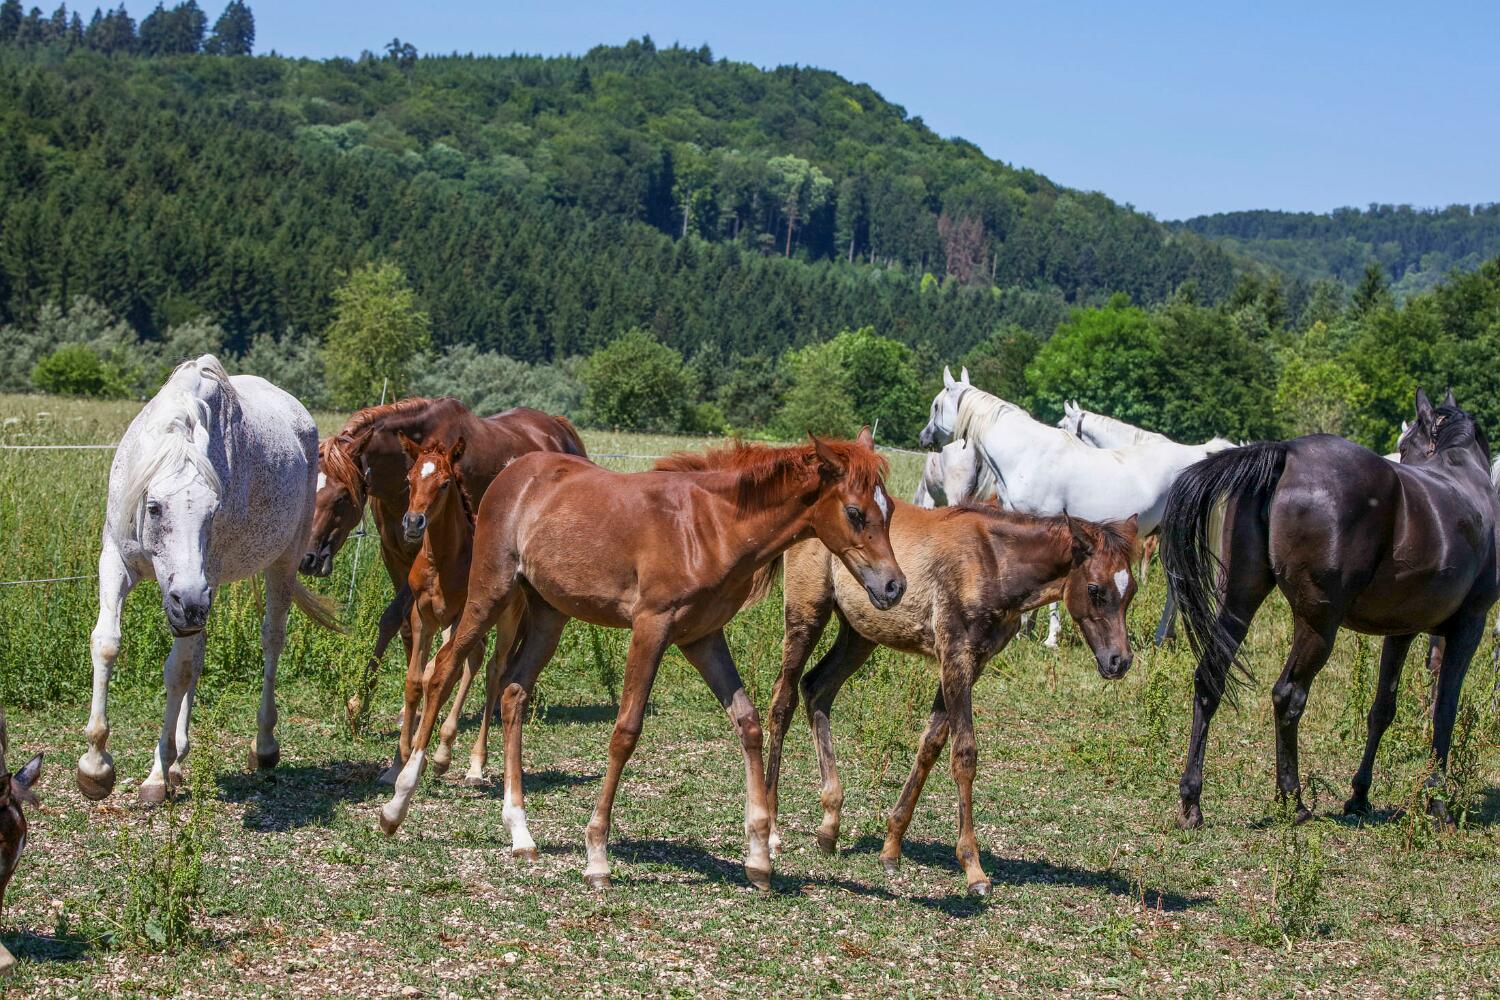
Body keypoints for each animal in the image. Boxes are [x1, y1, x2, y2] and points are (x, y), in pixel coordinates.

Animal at [78, 356, 340, 803]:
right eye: (154, 507)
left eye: (214, 511)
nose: (188, 601)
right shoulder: (116, 562)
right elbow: (107, 643)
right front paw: (96, 765)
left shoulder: (200, 588)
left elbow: (177, 671)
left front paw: (157, 774)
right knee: (197, 657)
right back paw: (180, 761)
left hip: (280, 564)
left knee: (271, 639)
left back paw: (262, 746)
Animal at [302, 398, 585, 732]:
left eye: (343, 497)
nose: (308, 559)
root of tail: (560, 431)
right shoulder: (395, 556)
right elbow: (401, 625)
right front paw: (392, 707)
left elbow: (398, 620)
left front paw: (366, 704)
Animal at [377, 430, 907, 891]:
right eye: (856, 512)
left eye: (891, 510)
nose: (893, 586)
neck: (710, 527)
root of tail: (513, 471)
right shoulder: (651, 628)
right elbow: (625, 732)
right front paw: (597, 856)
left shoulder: (703, 637)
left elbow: (748, 722)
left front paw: (759, 857)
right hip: (491, 592)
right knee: (443, 669)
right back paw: (398, 802)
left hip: (549, 614)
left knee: (512, 692)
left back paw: (520, 831)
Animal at [762, 501, 1139, 895]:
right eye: (1096, 590)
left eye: (1131, 590)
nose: (1119, 661)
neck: (994, 561)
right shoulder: (956, 656)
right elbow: (964, 754)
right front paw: (974, 869)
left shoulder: (971, 663)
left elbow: (931, 744)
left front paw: (891, 849)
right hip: (806, 613)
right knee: (783, 701)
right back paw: (771, 831)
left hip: (860, 633)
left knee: (816, 689)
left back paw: (829, 825)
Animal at [1161, 388, 1499, 829]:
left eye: (1406, 443)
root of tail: (1287, 452)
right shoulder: (1468, 628)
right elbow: (1444, 710)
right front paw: (1438, 804)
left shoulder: (1401, 630)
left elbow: (1382, 709)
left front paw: (1360, 795)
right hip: (1319, 624)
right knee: (1288, 695)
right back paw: (1293, 800)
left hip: (1238, 601)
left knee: (1209, 679)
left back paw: (1192, 801)